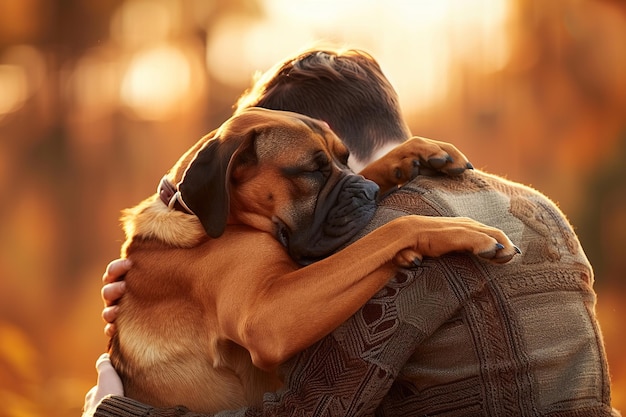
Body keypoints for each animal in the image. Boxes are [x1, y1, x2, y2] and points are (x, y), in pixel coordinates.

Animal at [107, 105, 516, 412]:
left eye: (343, 158)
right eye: (311, 171)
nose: (368, 193)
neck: (192, 211)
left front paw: (418, 152)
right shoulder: (268, 317)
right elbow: (394, 227)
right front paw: (462, 229)